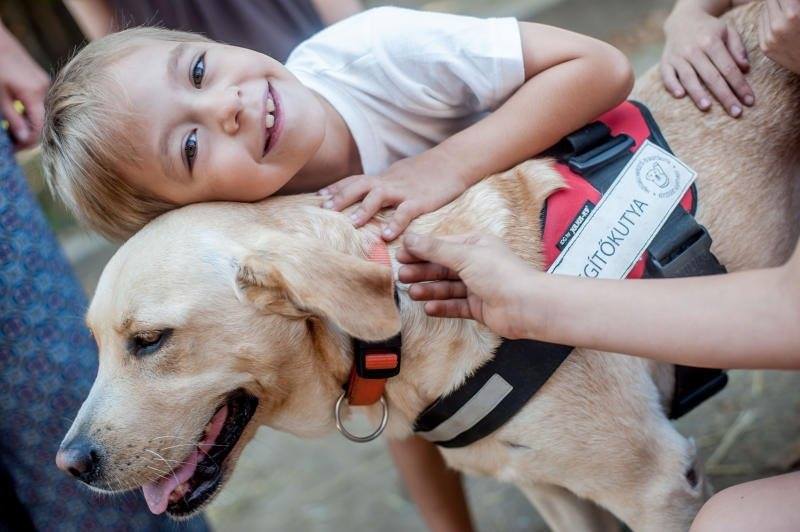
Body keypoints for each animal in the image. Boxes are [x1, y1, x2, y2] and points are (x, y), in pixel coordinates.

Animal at [57, 5, 800, 532]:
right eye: (93, 344)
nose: (70, 463)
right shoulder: (550, 490)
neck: (400, 320)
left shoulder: (656, 484)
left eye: (149, 341)